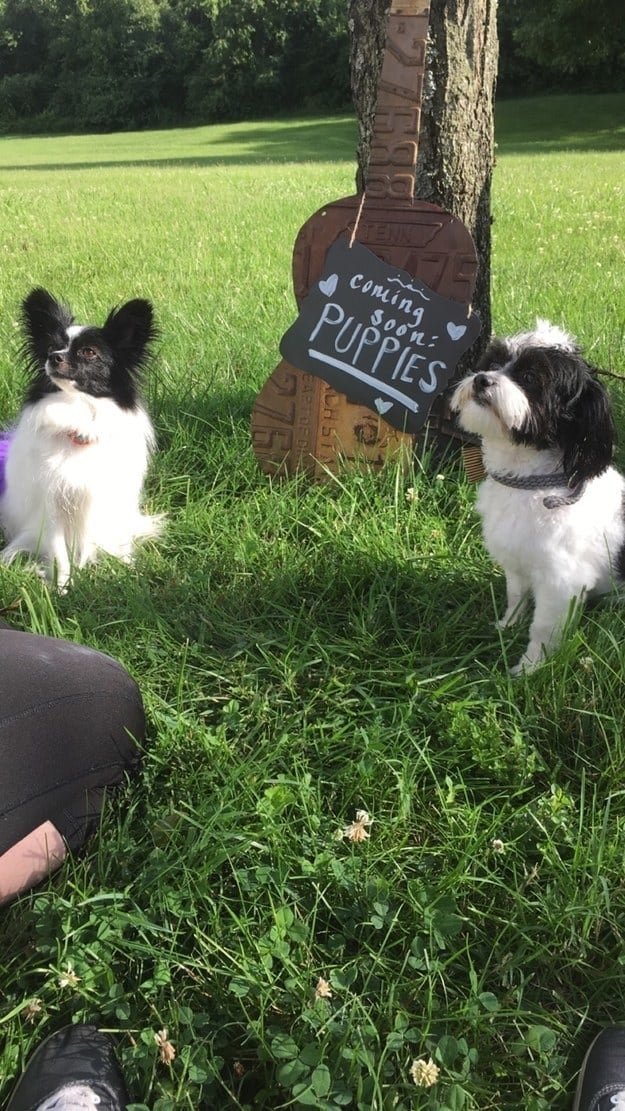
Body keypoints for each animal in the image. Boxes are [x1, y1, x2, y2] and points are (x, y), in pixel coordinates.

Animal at [0, 286, 164, 591]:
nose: (54, 357)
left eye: (89, 352)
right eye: (51, 349)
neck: (78, 415)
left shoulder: (100, 498)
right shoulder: (53, 503)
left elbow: (100, 544)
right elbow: (59, 553)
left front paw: (117, 573)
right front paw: (62, 585)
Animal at [452, 317, 621, 671]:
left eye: (530, 378)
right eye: (493, 363)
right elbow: (516, 596)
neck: (530, 482)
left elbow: (542, 628)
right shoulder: (517, 562)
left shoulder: (561, 583)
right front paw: (506, 626)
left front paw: (529, 668)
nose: (482, 379)